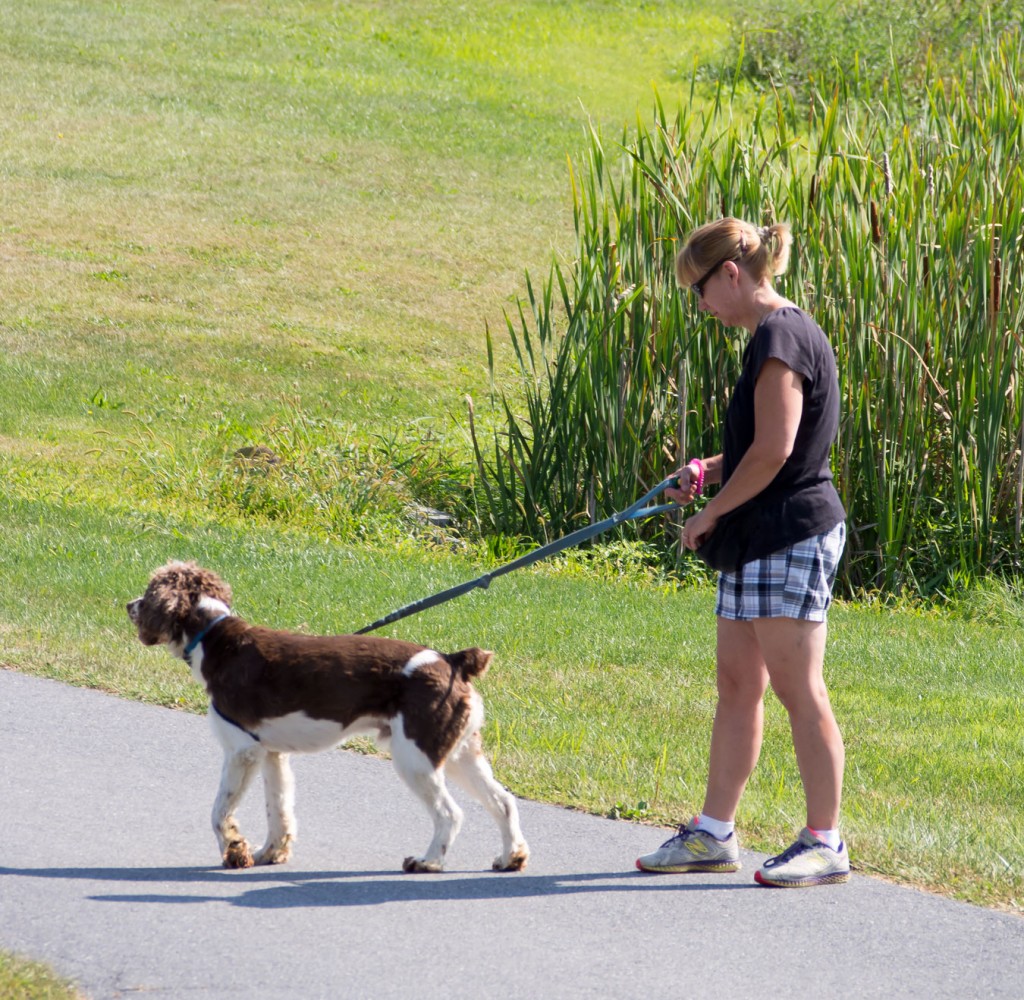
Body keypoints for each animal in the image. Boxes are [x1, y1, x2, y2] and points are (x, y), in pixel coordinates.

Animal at [123, 560, 532, 876]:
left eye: (150, 589)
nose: (129, 604)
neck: (214, 639)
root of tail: (452, 661)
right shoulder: (272, 754)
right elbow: (279, 809)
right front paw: (270, 853)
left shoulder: (242, 750)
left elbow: (220, 811)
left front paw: (235, 850)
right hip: (459, 750)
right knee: (503, 801)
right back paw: (510, 857)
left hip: (415, 756)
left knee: (450, 813)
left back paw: (428, 862)